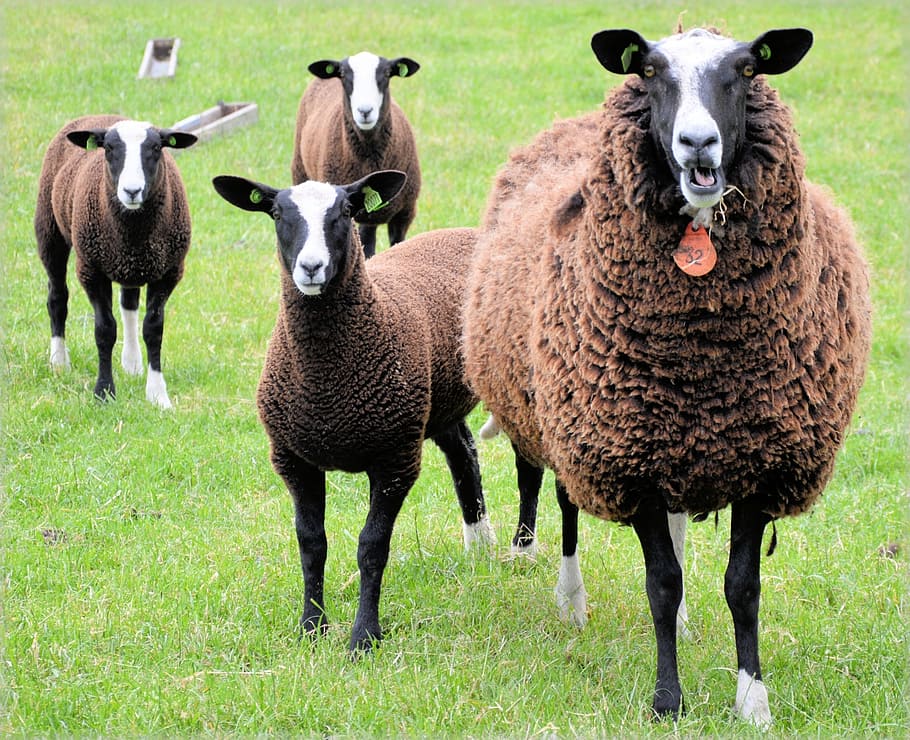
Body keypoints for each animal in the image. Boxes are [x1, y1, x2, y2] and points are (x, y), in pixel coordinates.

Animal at [34, 114, 197, 408]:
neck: (134, 232)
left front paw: (157, 395)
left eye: (156, 148)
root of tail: (97, 116)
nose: (132, 191)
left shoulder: (168, 271)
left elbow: (153, 330)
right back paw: (59, 362)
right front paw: (104, 392)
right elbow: (104, 330)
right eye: (108, 149)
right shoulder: (91, 271)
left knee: (128, 305)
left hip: (130, 265)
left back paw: (132, 363)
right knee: (57, 299)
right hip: (49, 231)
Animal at [212, 169, 495, 653]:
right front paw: (312, 627)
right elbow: (311, 542)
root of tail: (464, 232)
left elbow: (372, 547)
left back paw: (523, 548)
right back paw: (480, 546)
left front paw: (364, 637)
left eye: (345, 212)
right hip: (433, 405)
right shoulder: (293, 458)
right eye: (277, 213)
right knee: (464, 453)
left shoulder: (396, 459)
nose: (311, 267)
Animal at [290, 51, 421, 258]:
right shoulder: (362, 214)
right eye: (344, 75)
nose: (365, 111)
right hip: (300, 170)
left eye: (386, 74)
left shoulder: (404, 213)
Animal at [463, 25, 871, 726]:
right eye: (651, 71)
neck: (704, 356)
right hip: (563, 414)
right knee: (558, 498)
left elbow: (742, 586)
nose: (697, 142)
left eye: (747, 68)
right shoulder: (632, 458)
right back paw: (565, 594)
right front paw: (667, 700)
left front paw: (752, 701)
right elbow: (660, 582)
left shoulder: (761, 457)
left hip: (671, 440)